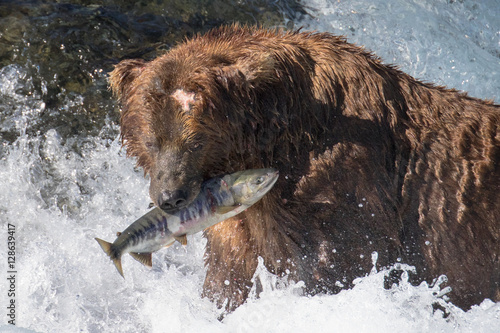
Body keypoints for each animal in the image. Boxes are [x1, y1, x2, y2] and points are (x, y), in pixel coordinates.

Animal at [109, 24, 500, 310]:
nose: (170, 197)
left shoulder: (343, 189)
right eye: (151, 141)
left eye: (195, 142)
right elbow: (229, 275)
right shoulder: (238, 223)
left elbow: (335, 263)